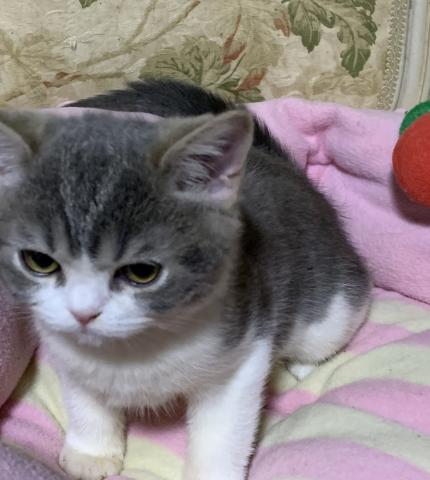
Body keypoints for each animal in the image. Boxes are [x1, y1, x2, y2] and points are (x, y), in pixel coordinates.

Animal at [0, 79, 371, 480]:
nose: (83, 313)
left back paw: (303, 363)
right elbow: (85, 401)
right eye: (40, 261)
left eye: (142, 272)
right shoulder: (66, 352)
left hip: (330, 309)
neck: (132, 350)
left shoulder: (243, 354)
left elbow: (222, 432)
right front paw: (92, 453)